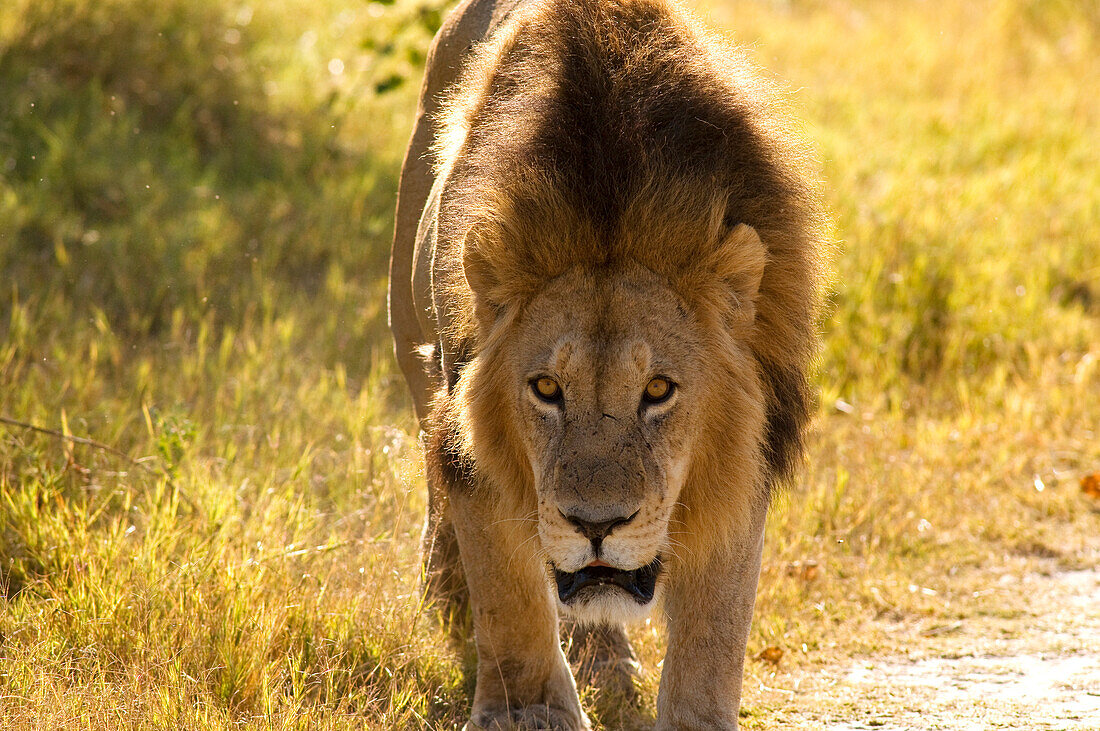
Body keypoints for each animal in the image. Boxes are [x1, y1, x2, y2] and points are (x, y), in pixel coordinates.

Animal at [387, 0, 827, 725]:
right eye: (544, 388)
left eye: (659, 389)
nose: (596, 525)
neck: (610, 215)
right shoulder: (472, 444)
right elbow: (509, 601)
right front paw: (525, 713)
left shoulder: (744, 454)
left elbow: (716, 628)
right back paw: (447, 591)